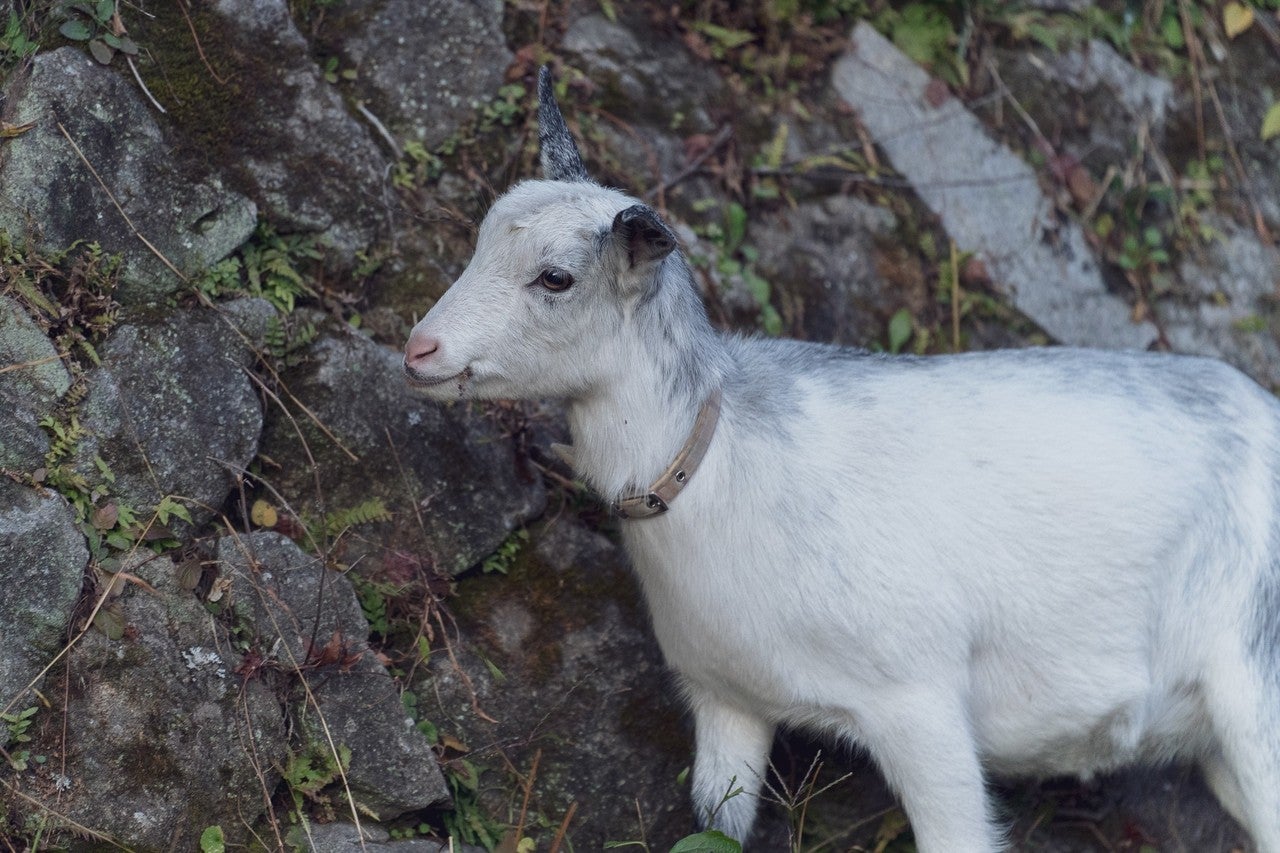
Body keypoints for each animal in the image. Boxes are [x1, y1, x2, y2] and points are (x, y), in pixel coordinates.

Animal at [402, 67, 1280, 851]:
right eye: (482, 237)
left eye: (556, 277)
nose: (420, 349)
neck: (721, 462)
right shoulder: (728, 701)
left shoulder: (921, 706)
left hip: (1257, 691)